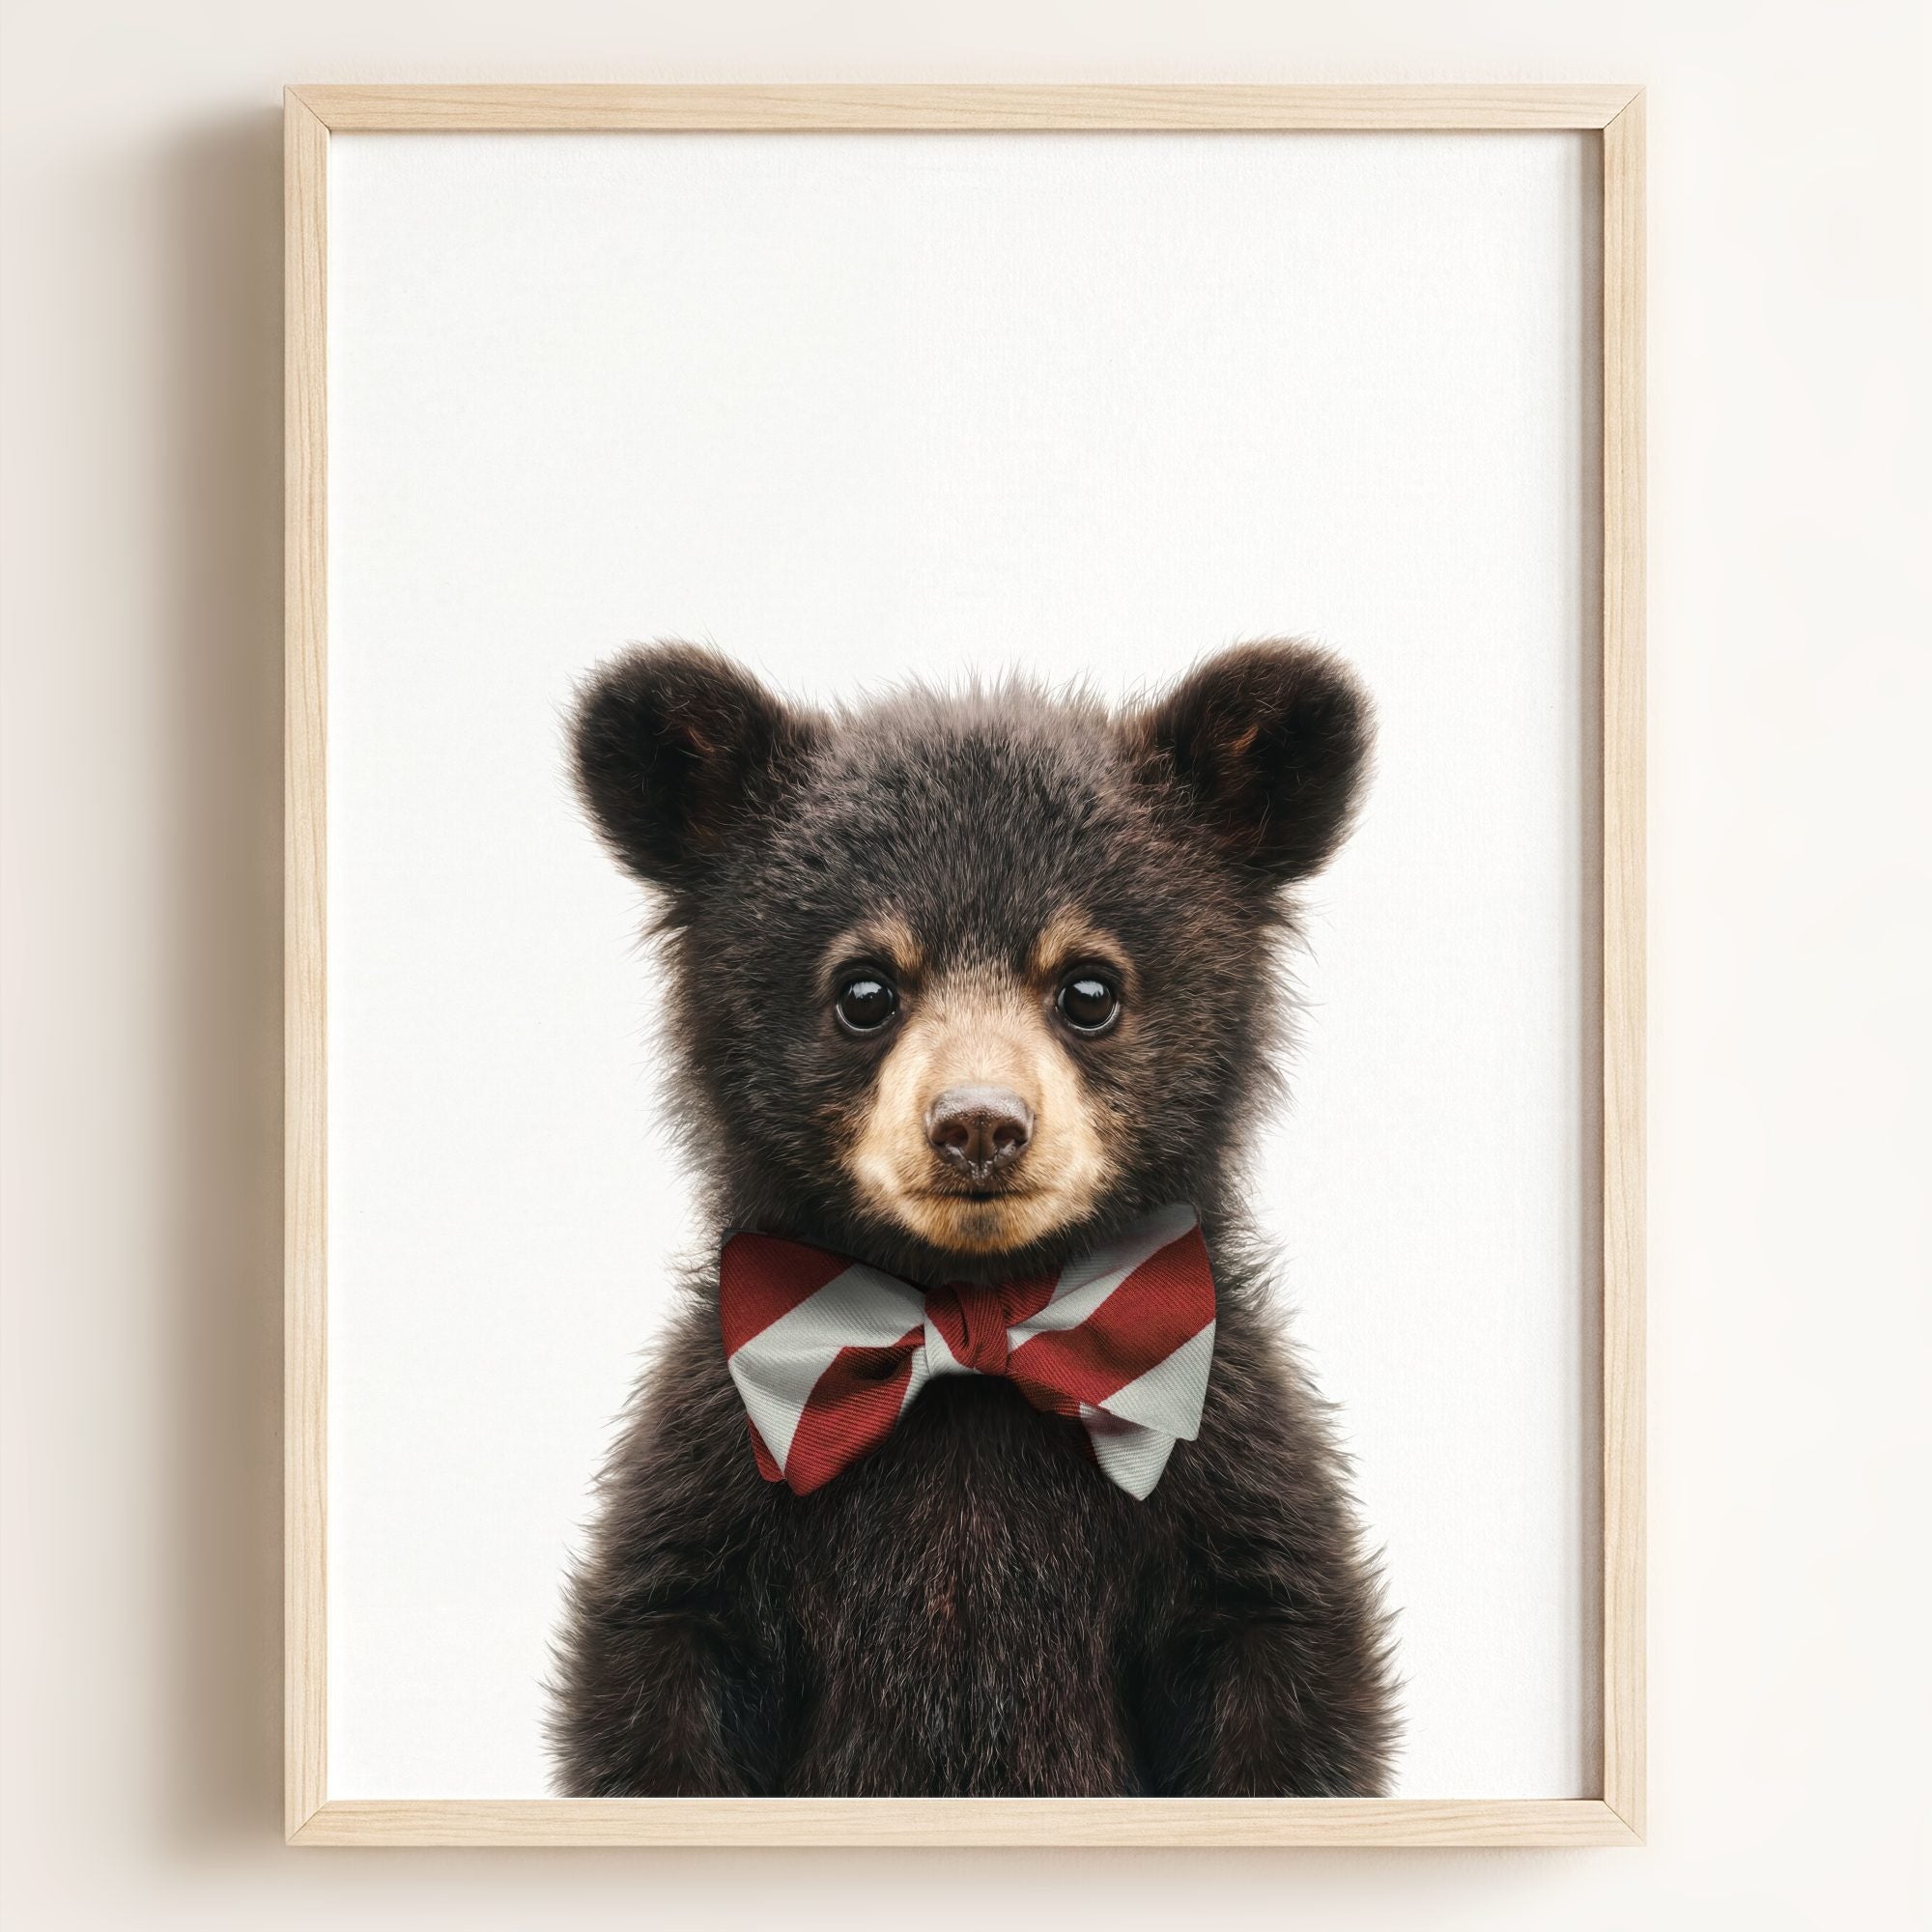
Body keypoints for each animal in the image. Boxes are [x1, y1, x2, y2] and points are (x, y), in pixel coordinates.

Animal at [549, 639, 1397, 1797]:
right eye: (864, 989)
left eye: (1089, 987)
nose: (979, 1125)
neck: (974, 1319)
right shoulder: (713, 1481)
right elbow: (658, 1675)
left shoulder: (1230, 1477)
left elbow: (1283, 1676)